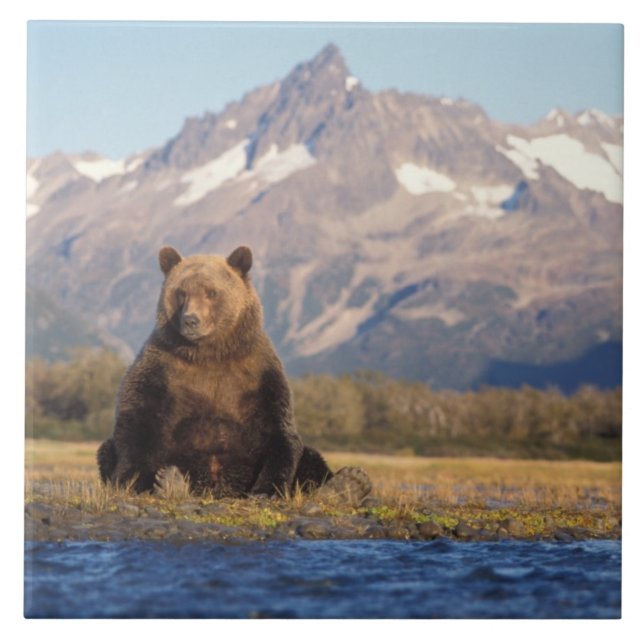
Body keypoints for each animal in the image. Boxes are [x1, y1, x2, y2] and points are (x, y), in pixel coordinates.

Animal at [97, 244, 371, 503]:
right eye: (181, 292)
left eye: (211, 292)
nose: (191, 320)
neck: (209, 354)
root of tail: (220, 490)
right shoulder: (161, 368)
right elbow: (137, 422)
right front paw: (137, 482)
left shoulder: (258, 374)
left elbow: (278, 431)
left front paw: (266, 491)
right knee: (107, 449)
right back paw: (171, 482)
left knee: (311, 457)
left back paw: (349, 483)